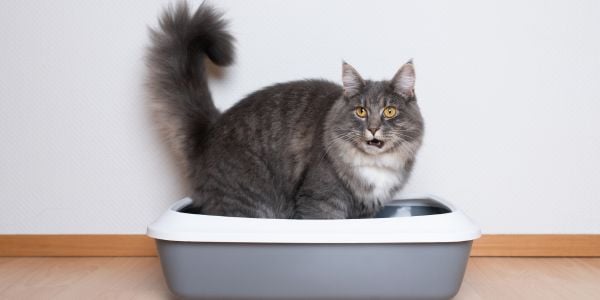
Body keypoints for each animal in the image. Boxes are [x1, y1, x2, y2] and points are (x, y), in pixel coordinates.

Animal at [147, 1, 424, 218]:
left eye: (390, 111)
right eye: (361, 111)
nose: (373, 129)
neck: (374, 166)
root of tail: (208, 130)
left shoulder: (366, 211)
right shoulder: (321, 201)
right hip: (248, 202)